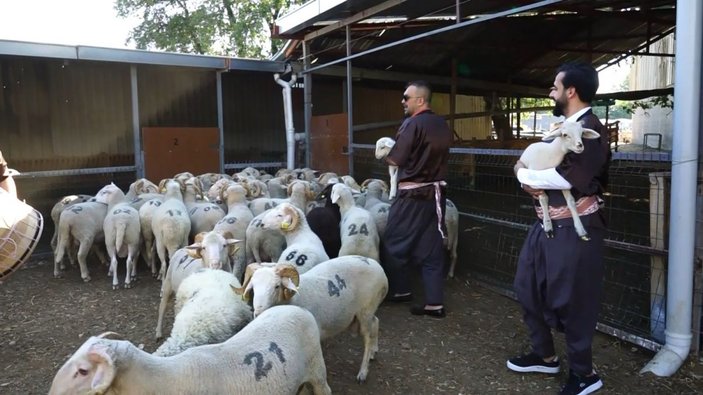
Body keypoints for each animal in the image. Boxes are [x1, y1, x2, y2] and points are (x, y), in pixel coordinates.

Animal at [236, 256, 390, 384]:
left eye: (277, 286)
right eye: (253, 287)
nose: (258, 313)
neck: (290, 300)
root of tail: (378, 267)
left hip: (366, 309)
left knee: (367, 338)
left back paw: (363, 372)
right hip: (368, 311)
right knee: (376, 322)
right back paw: (373, 351)